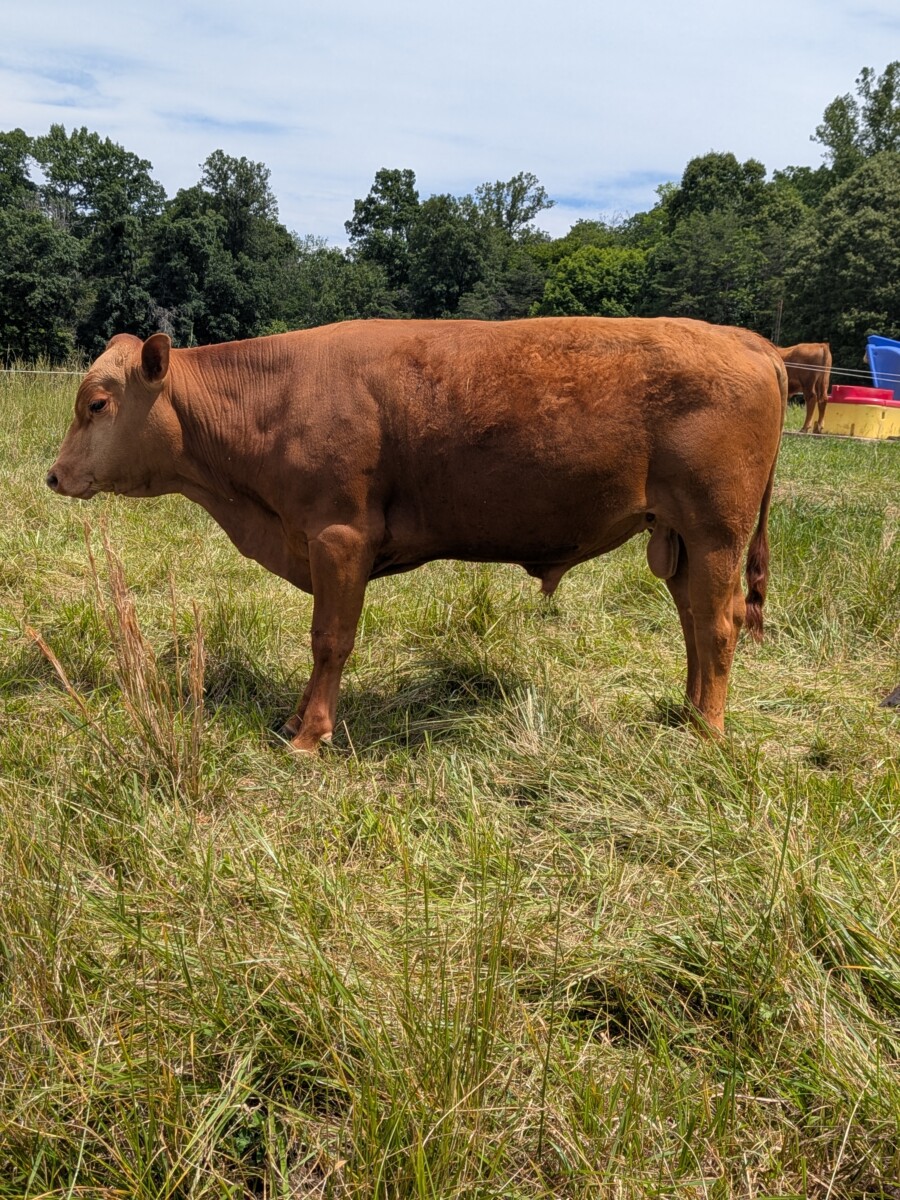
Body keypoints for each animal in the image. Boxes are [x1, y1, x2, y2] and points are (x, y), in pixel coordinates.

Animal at [47, 318, 787, 751]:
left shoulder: (339, 538)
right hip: (681, 542)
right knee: (695, 623)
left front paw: (310, 736)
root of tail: (748, 340)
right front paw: (293, 721)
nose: (54, 475)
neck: (275, 398)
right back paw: (688, 715)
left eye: (98, 404)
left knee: (716, 627)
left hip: (714, 532)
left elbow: (330, 640)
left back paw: (706, 734)